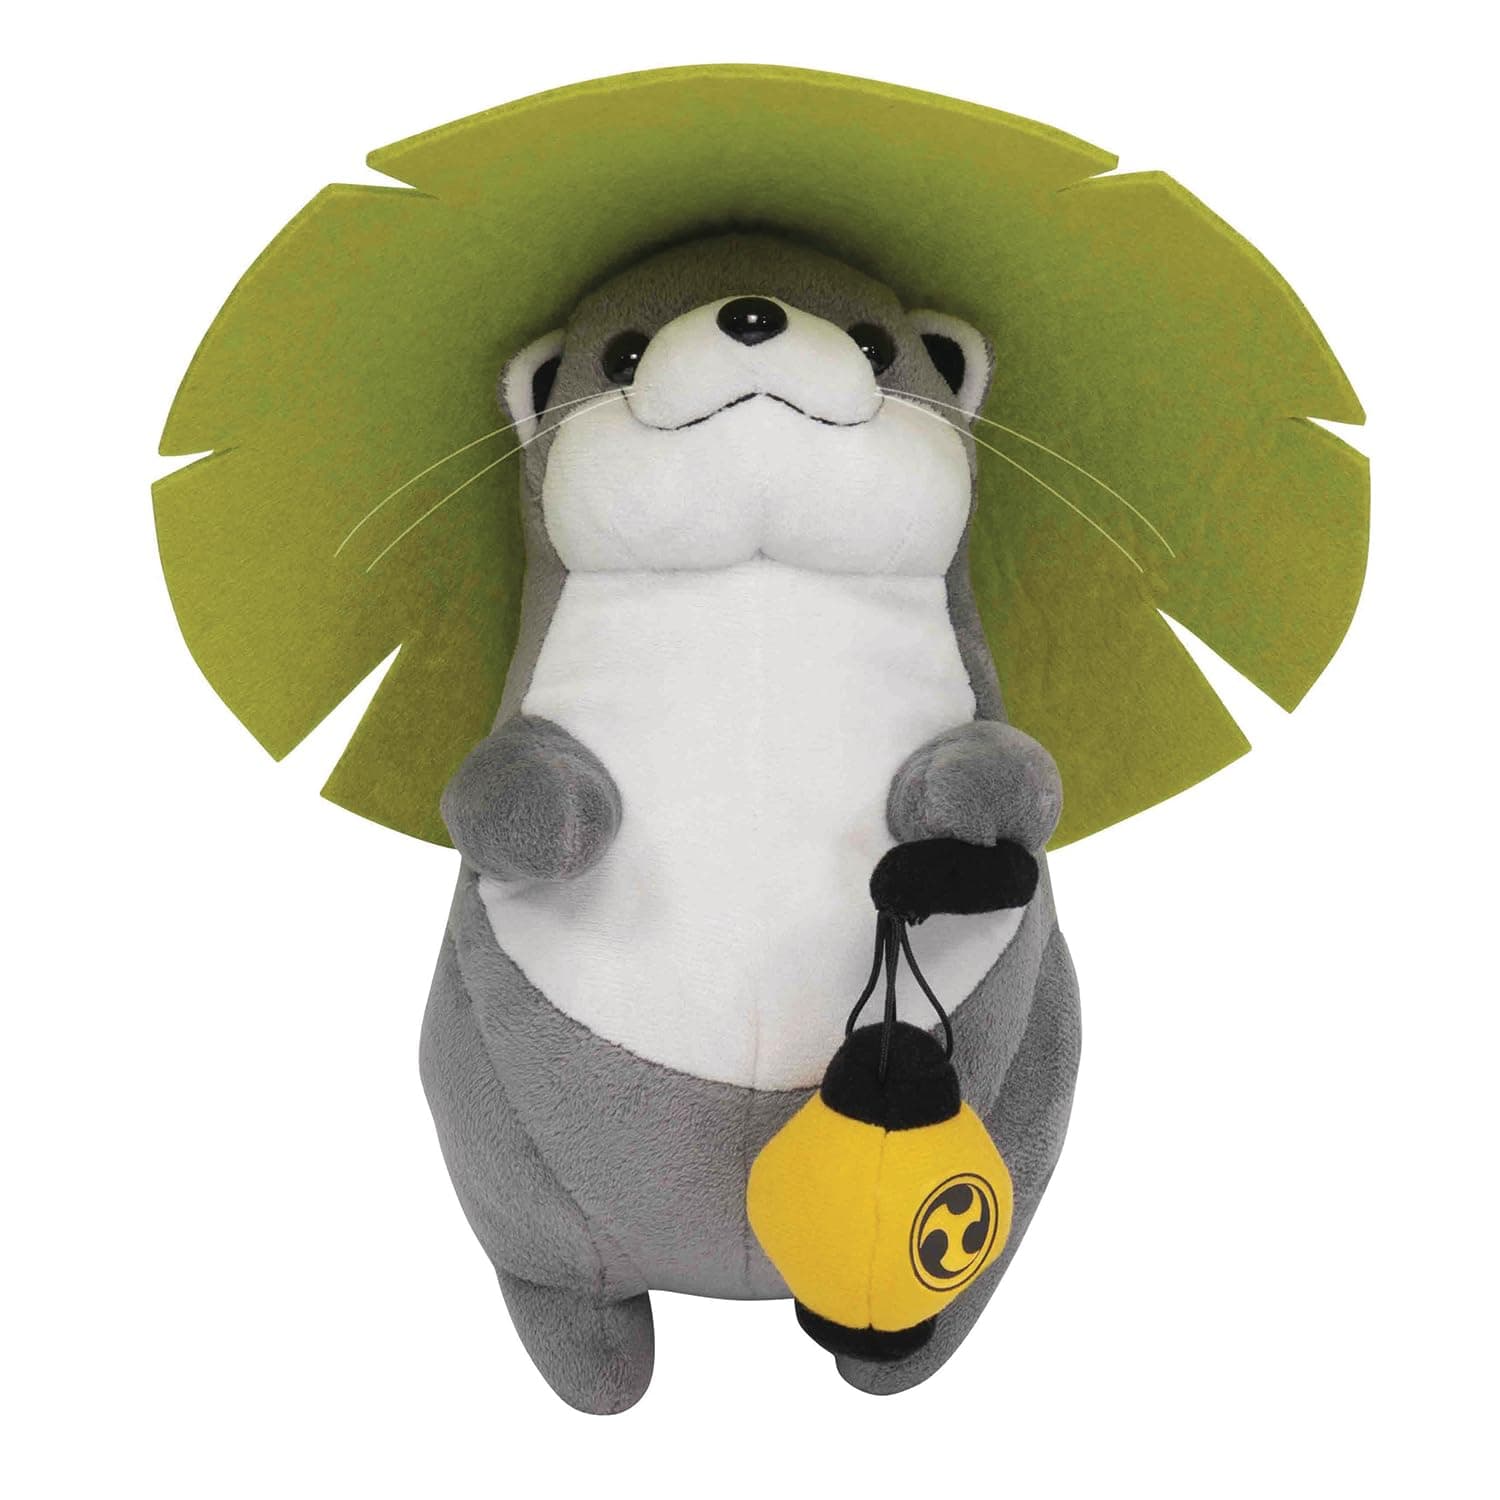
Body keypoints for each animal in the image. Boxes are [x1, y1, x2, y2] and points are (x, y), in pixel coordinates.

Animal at [423, 234, 1080, 1413]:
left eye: (876, 344)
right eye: (622, 353)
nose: (753, 311)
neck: (761, 580)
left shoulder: (985, 722)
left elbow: (1013, 767)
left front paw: (963, 812)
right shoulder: (523, 734)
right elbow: (504, 779)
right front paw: (548, 824)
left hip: (1029, 1083)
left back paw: (893, 1354)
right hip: (502, 1142)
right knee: (560, 1275)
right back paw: (599, 1371)